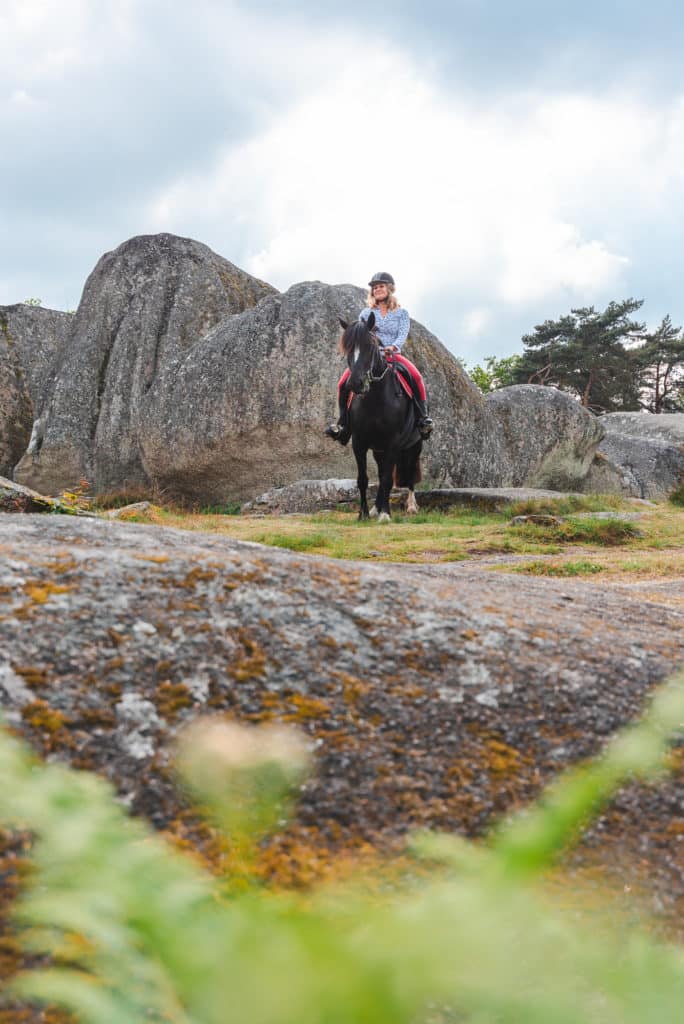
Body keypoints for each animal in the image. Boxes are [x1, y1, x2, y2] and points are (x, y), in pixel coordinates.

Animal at [337, 309, 421, 520]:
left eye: (370, 346)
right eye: (348, 348)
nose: (355, 383)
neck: (375, 398)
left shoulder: (393, 442)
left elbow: (387, 480)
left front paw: (385, 514)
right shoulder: (359, 442)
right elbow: (363, 480)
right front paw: (364, 514)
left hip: (414, 445)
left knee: (409, 472)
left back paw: (411, 506)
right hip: (378, 450)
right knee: (383, 471)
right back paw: (376, 507)